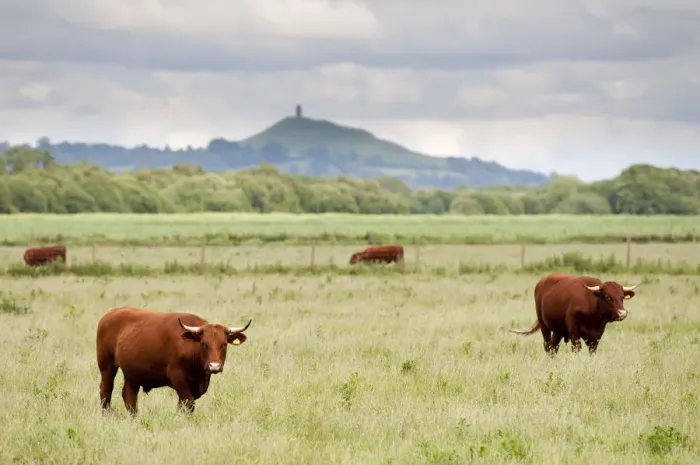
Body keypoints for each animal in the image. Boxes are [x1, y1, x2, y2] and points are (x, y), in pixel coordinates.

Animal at [96, 306, 252, 416]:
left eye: (224, 344)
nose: (214, 366)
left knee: (129, 396)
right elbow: (188, 403)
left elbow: (184, 404)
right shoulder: (177, 376)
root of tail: (111, 313)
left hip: (132, 373)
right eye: (203, 344)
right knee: (106, 390)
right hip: (106, 366)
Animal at [509, 272, 640, 355]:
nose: (622, 313)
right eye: (608, 297)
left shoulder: (596, 336)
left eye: (622, 297)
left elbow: (592, 351)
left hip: (558, 330)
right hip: (544, 325)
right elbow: (576, 349)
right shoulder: (574, 330)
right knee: (548, 346)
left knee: (554, 347)